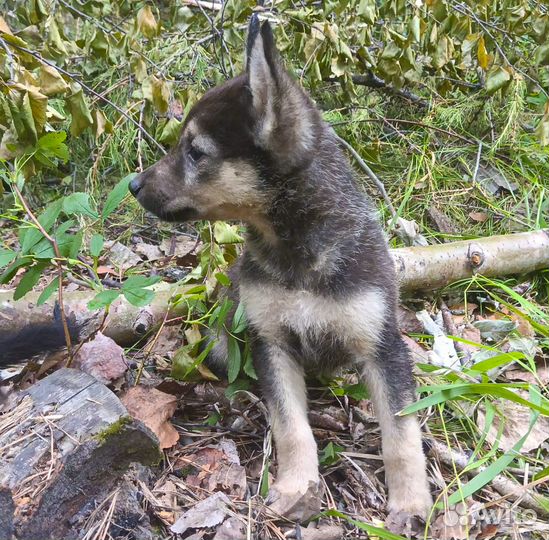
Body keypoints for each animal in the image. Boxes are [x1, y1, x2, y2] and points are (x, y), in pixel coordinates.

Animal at [130, 13, 432, 520]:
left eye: (196, 152)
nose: (133, 185)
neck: (296, 254)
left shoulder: (382, 346)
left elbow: (402, 434)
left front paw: (412, 502)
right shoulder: (270, 342)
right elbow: (292, 428)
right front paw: (296, 486)